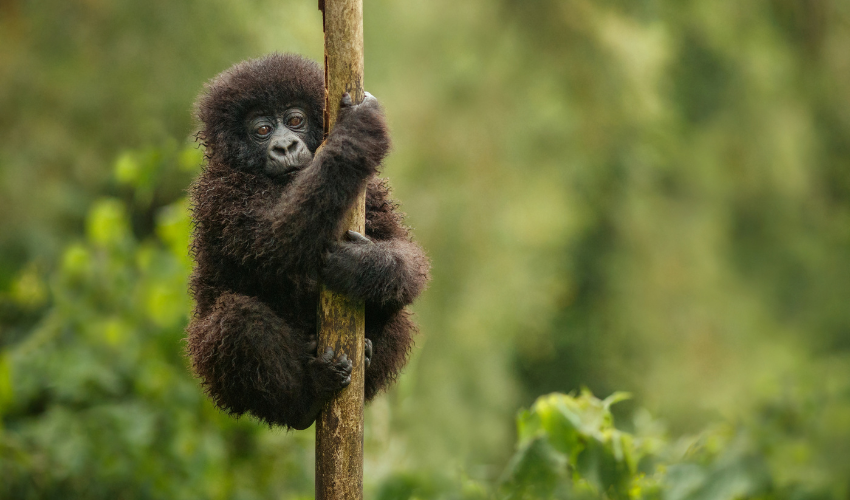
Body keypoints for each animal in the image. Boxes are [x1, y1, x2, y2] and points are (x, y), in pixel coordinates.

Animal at [185, 53, 430, 430]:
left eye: (295, 120)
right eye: (262, 130)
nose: (285, 145)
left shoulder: (371, 191)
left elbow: (406, 255)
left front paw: (362, 266)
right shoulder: (221, 193)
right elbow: (275, 240)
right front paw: (356, 133)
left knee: (399, 311)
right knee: (236, 319)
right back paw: (305, 399)